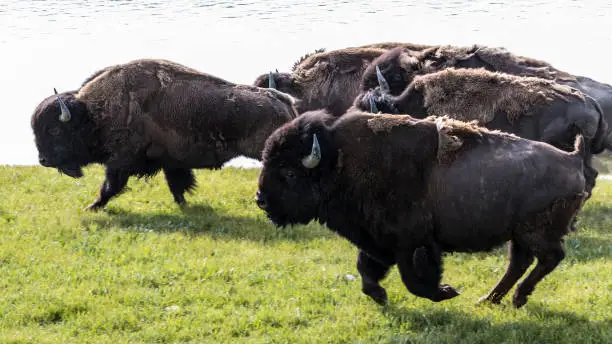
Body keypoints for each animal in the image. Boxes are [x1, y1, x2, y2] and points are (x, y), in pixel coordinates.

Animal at [31, 57, 298, 211]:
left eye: (54, 129)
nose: (43, 160)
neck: (93, 112)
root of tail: (283, 100)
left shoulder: (120, 162)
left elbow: (110, 186)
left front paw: (93, 206)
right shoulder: (172, 163)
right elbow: (177, 185)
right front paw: (184, 205)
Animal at [255, 109, 588, 308]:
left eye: (289, 173)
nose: (261, 199)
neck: (338, 161)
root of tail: (572, 160)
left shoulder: (412, 243)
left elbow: (413, 279)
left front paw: (446, 292)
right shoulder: (376, 241)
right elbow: (366, 269)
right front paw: (380, 296)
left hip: (535, 233)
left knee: (548, 258)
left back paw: (514, 298)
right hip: (518, 235)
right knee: (519, 263)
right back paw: (489, 299)